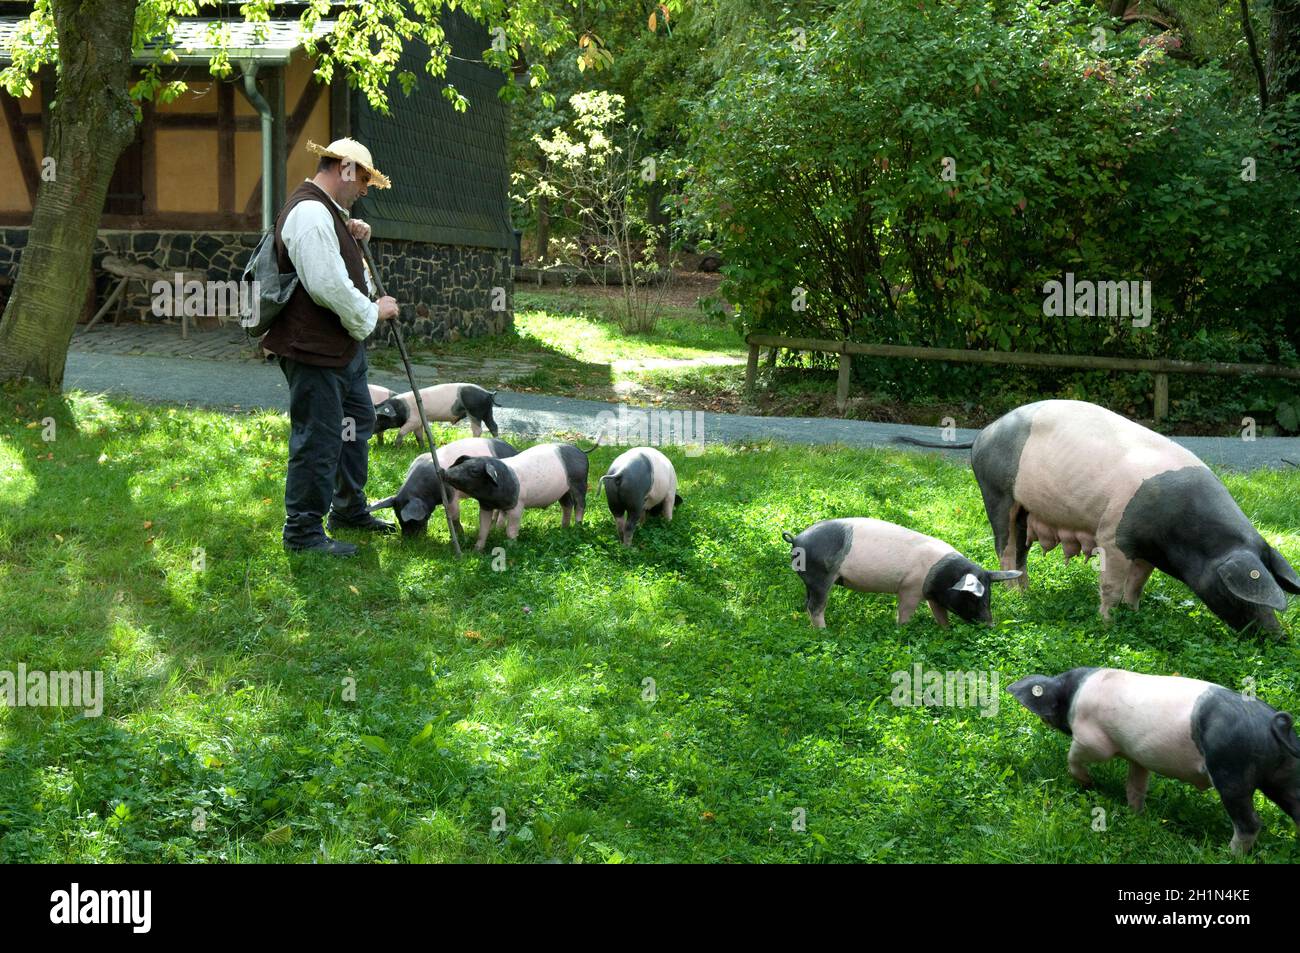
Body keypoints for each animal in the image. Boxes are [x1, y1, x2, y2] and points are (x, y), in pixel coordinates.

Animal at [366, 436, 517, 535]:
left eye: (415, 519)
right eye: (397, 516)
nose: (408, 539)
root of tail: (514, 449)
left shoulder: (451, 496)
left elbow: (454, 516)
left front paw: (460, 536)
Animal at [441, 439, 595, 546]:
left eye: (474, 471)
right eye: (461, 464)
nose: (444, 472)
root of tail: (581, 451)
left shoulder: (518, 505)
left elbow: (511, 530)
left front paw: (511, 547)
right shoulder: (485, 505)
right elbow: (483, 529)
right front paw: (477, 551)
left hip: (580, 482)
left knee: (580, 505)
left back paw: (577, 527)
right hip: (564, 491)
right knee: (567, 505)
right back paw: (563, 529)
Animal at [774, 517, 1019, 629]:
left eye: (989, 597)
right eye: (974, 598)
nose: (991, 625)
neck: (943, 577)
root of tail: (797, 538)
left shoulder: (932, 595)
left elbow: (940, 613)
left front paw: (946, 630)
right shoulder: (910, 588)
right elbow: (905, 612)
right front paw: (903, 630)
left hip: (811, 580)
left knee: (807, 604)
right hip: (821, 577)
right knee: (816, 606)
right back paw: (824, 632)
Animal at [904, 400, 1300, 631]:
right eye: (1241, 594)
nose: (1278, 637)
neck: (1182, 538)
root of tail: (983, 433)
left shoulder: (1146, 550)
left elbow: (1138, 582)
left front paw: (1134, 613)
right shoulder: (1114, 536)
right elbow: (1110, 583)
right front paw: (1109, 623)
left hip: (1026, 509)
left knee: (1021, 552)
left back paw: (1027, 594)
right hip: (996, 492)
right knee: (1005, 546)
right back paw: (1017, 597)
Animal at [1008, 670, 1300, 852]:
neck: (1072, 694)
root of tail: (1272, 726)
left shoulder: (1093, 741)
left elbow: (1074, 756)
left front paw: (1087, 783)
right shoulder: (1138, 756)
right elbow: (1135, 786)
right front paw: (1137, 816)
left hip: (1231, 773)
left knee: (1249, 823)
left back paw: (1227, 854)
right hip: (1284, 773)